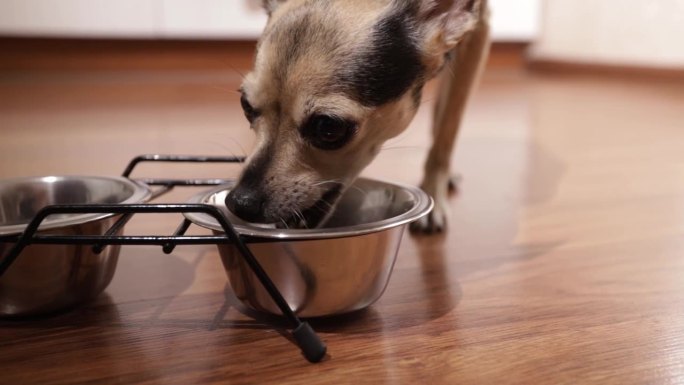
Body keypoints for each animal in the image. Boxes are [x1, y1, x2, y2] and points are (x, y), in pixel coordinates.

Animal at [227, 0, 488, 232]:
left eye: (328, 127)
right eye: (245, 106)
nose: (240, 202)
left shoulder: (478, 32)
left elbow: (448, 127)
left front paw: (434, 189)